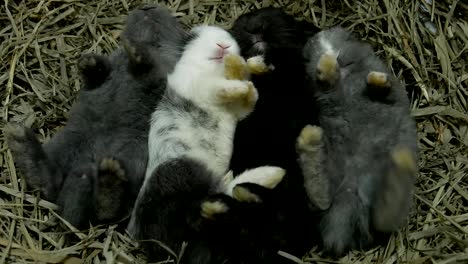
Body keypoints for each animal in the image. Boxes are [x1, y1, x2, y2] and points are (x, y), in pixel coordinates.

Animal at [300, 26, 420, 256]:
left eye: (347, 38)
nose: (320, 38)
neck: (346, 76)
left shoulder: (394, 96)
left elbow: (385, 89)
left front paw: (377, 80)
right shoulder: (328, 94)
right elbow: (327, 84)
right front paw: (326, 66)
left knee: (382, 218)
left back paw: (401, 160)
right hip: (334, 170)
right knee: (321, 200)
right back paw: (309, 138)